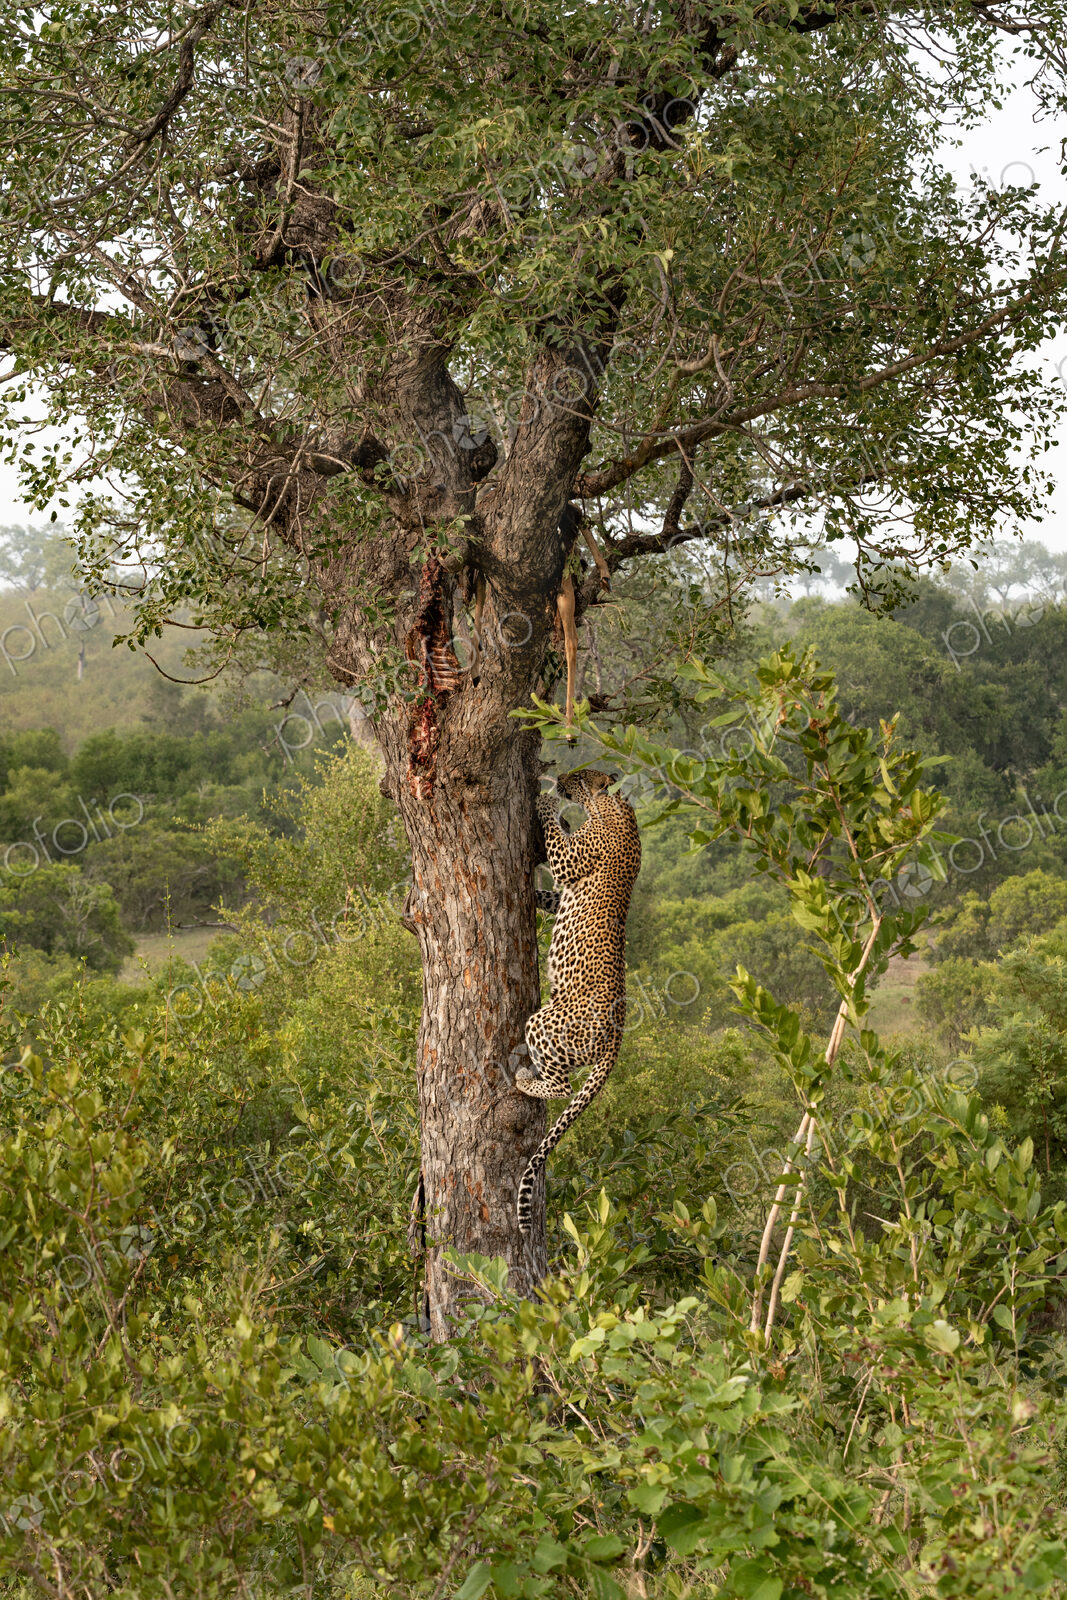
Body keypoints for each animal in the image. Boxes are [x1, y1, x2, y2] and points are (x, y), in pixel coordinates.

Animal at [515, 767, 642, 1234]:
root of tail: (616, 1041)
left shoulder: (570, 860)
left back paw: (523, 1079)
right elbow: (549, 895)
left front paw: (547, 801)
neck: (612, 804)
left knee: (561, 1087)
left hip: (545, 1023)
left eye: (579, 775)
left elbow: (556, 835)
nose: (561, 778)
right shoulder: (564, 883)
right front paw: (531, 893)